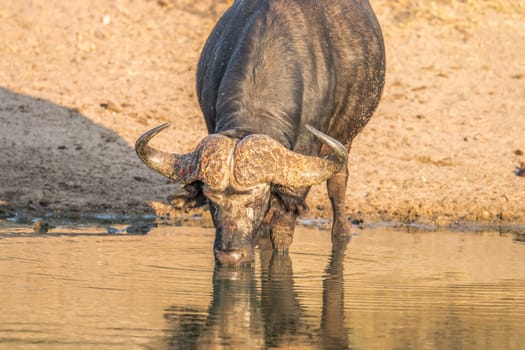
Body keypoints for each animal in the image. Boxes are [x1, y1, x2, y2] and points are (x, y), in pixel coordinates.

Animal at [135, 0, 384, 264]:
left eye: (256, 199)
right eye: (212, 201)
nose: (230, 256)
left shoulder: (304, 162)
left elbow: (282, 229)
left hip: (345, 138)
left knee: (338, 183)